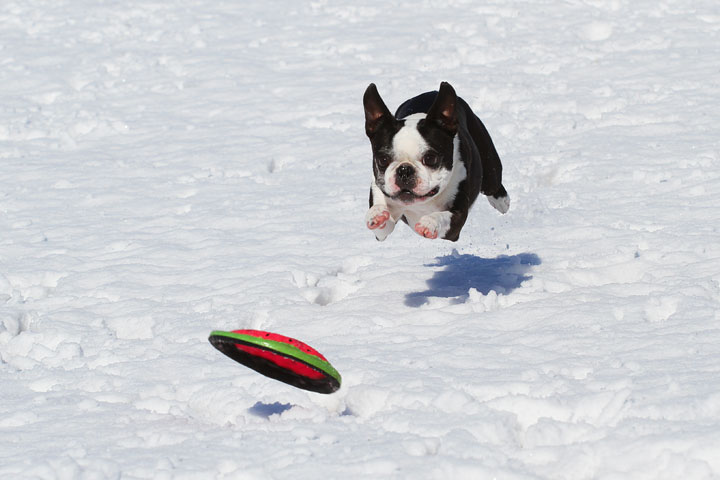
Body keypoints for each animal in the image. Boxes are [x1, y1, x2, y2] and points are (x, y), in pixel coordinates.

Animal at [362, 81, 510, 244]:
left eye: (430, 158)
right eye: (383, 160)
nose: (404, 170)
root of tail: (431, 92)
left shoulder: (454, 226)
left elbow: (443, 216)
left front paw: (430, 222)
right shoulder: (381, 228)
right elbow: (382, 226)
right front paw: (376, 214)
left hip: (488, 164)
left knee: (493, 183)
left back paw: (502, 201)